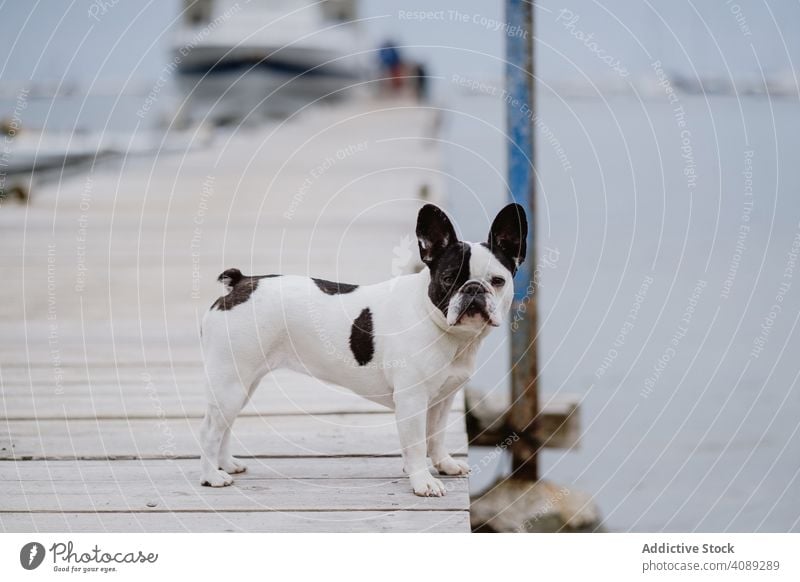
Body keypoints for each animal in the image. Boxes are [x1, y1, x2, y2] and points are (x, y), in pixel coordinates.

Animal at [198, 204, 524, 498]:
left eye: (498, 281)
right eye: (448, 279)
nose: (473, 288)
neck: (446, 330)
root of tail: (239, 284)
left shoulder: (443, 399)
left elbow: (436, 435)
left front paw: (443, 464)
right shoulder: (412, 400)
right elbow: (416, 443)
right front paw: (423, 481)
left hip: (242, 383)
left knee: (224, 426)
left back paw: (226, 464)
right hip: (231, 382)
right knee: (210, 431)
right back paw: (212, 476)